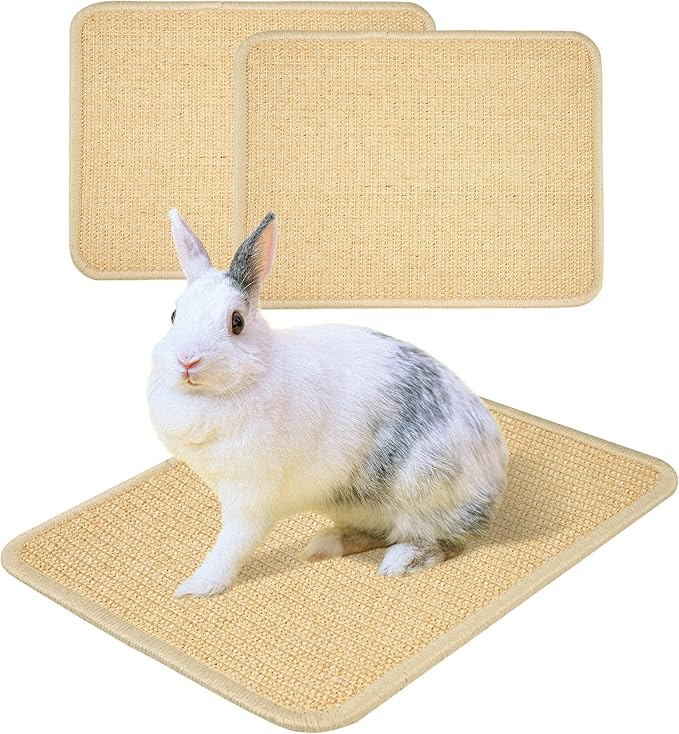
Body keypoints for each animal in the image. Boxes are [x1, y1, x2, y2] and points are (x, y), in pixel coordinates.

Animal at [147, 209, 508, 597]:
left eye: (237, 322)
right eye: (173, 316)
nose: (187, 361)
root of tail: (495, 472)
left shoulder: (252, 494)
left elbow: (233, 544)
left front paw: (196, 588)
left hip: (423, 489)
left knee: (447, 541)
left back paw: (400, 561)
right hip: (357, 502)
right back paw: (325, 544)